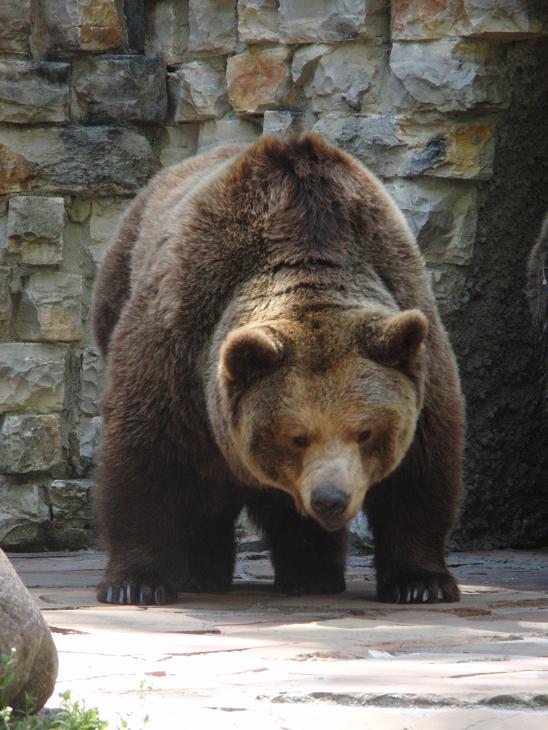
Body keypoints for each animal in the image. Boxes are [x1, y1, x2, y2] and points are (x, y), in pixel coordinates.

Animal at [92, 134, 464, 604]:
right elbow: (145, 456)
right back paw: (204, 572)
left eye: (365, 431)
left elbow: (420, 471)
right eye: (297, 436)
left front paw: (420, 583)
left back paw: (310, 574)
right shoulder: (179, 342)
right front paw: (136, 584)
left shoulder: (416, 345)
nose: (330, 499)